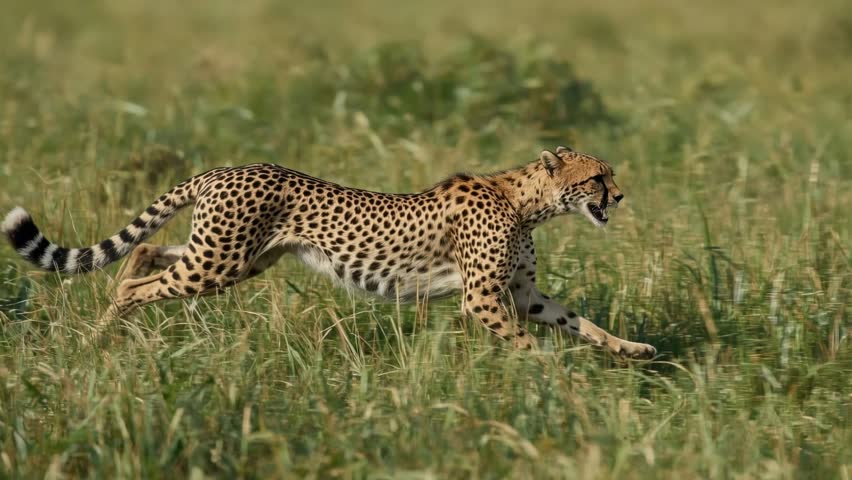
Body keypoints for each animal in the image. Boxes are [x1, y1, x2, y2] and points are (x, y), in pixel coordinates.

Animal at [1, 146, 656, 359]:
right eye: (598, 178)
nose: (622, 195)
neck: (524, 199)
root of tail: (224, 169)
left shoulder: (519, 293)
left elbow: (579, 321)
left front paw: (633, 350)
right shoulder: (484, 298)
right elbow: (530, 344)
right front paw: (553, 376)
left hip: (233, 259)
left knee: (142, 258)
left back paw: (102, 332)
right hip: (217, 264)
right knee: (136, 283)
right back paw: (97, 338)